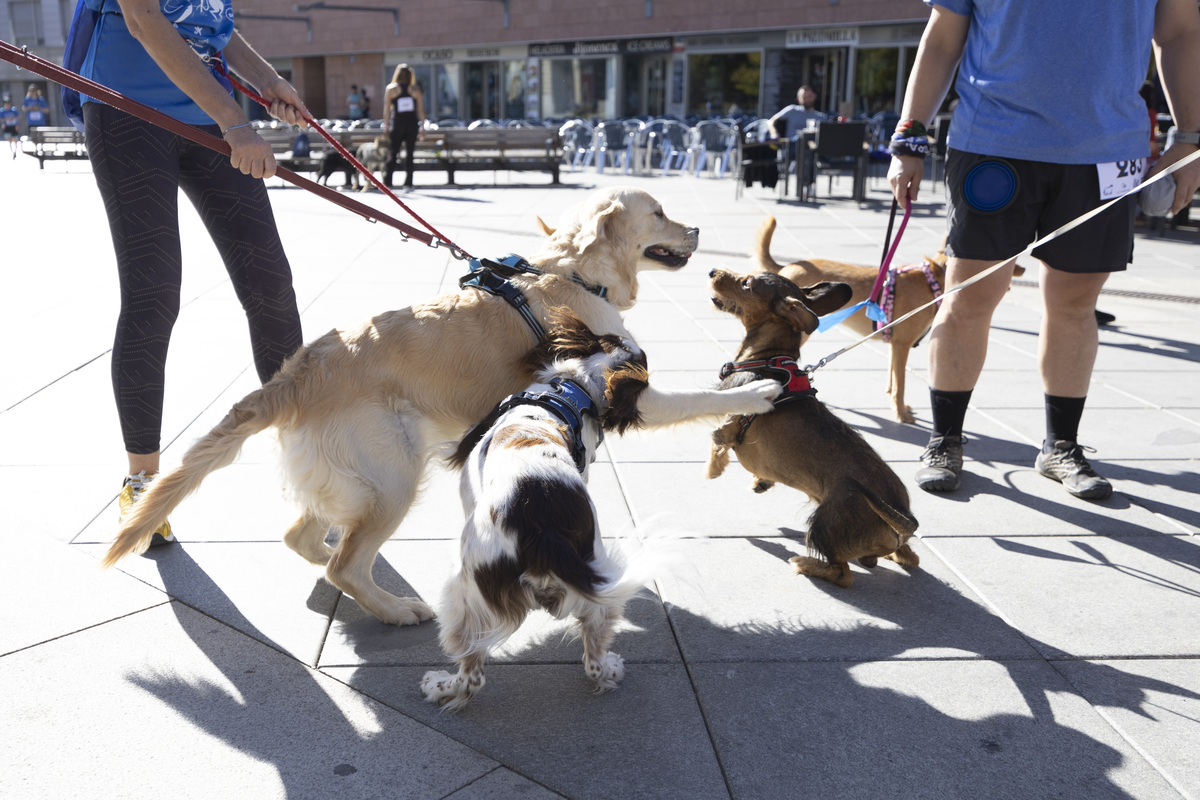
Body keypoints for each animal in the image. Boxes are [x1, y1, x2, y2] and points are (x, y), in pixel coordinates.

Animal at [705, 268, 921, 587]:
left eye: (746, 283)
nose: (712, 271)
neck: (766, 359)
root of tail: (903, 516)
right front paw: (761, 481)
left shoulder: (729, 424)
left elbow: (716, 441)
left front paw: (714, 469)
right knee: (909, 557)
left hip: (825, 524)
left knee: (843, 574)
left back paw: (805, 564)